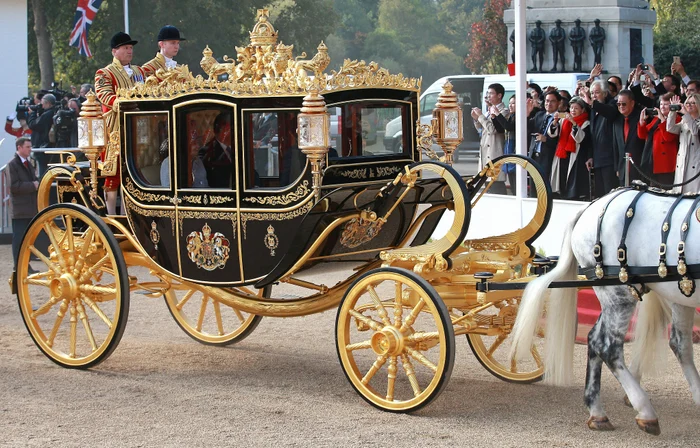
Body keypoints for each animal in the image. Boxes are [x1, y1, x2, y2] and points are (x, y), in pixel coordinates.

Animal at [508, 187, 700, 436]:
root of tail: (592, 205)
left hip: (658, 294)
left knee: (601, 339)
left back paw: (597, 411)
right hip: (619, 293)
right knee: (607, 346)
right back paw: (645, 410)